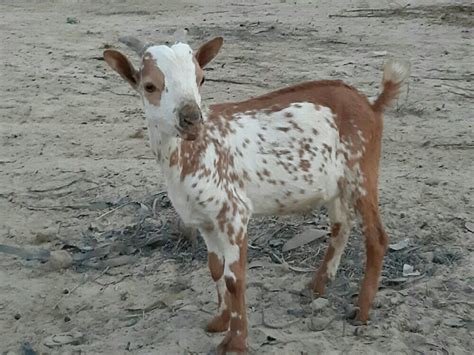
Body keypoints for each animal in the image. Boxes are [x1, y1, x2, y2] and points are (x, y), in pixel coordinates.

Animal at [103, 34, 408, 354]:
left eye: (201, 78)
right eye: (149, 86)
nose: (192, 119)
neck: (193, 152)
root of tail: (371, 105)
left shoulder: (234, 214)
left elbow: (234, 278)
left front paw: (236, 341)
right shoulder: (204, 220)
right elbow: (215, 269)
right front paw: (220, 321)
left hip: (362, 171)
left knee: (376, 237)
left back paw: (362, 309)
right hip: (335, 184)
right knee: (342, 224)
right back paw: (317, 285)